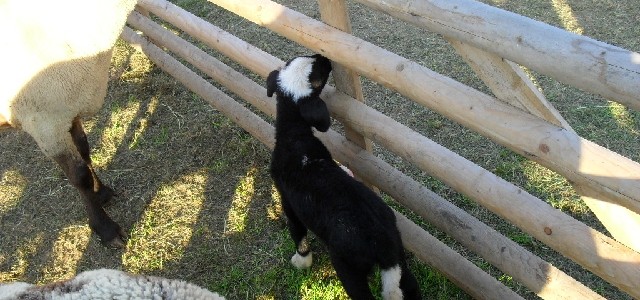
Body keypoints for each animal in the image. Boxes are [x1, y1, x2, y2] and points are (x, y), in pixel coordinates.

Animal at [0, 0, 139, 246]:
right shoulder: (45, 123)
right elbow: (79, 175)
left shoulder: (68, 110)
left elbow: (84, 150)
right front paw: (106, 229)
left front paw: (101, 193)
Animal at [264, 54, 420, 300]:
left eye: (317, 75)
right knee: (410, 286)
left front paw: (301, 261)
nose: (324, 57)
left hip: (348, 264)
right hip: (399, 255)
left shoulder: (288, 202)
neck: (295, 139)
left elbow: (298, 233)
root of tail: (383, 242)